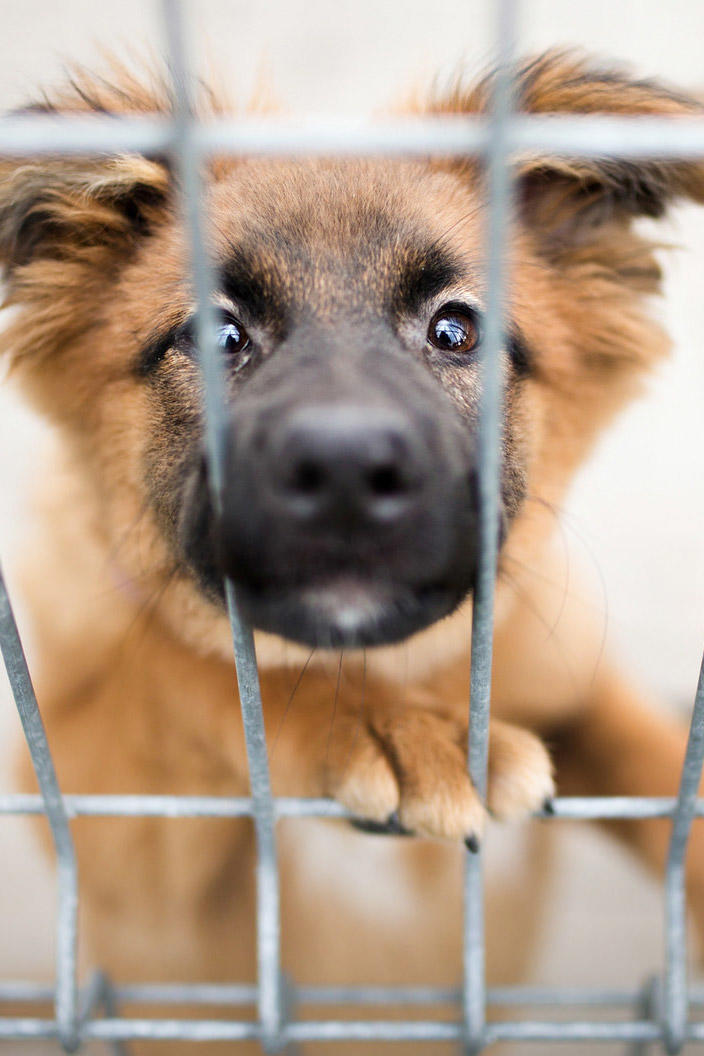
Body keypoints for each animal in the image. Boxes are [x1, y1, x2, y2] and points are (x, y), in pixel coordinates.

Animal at [1, 51, 704, 1056]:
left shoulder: (570, 666)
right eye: (216, 335)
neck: (394, 662)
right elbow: (187, 674)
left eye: (456, 329)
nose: (342, 471)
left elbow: (653, 753)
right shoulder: (101, 816)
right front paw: (403, 732)